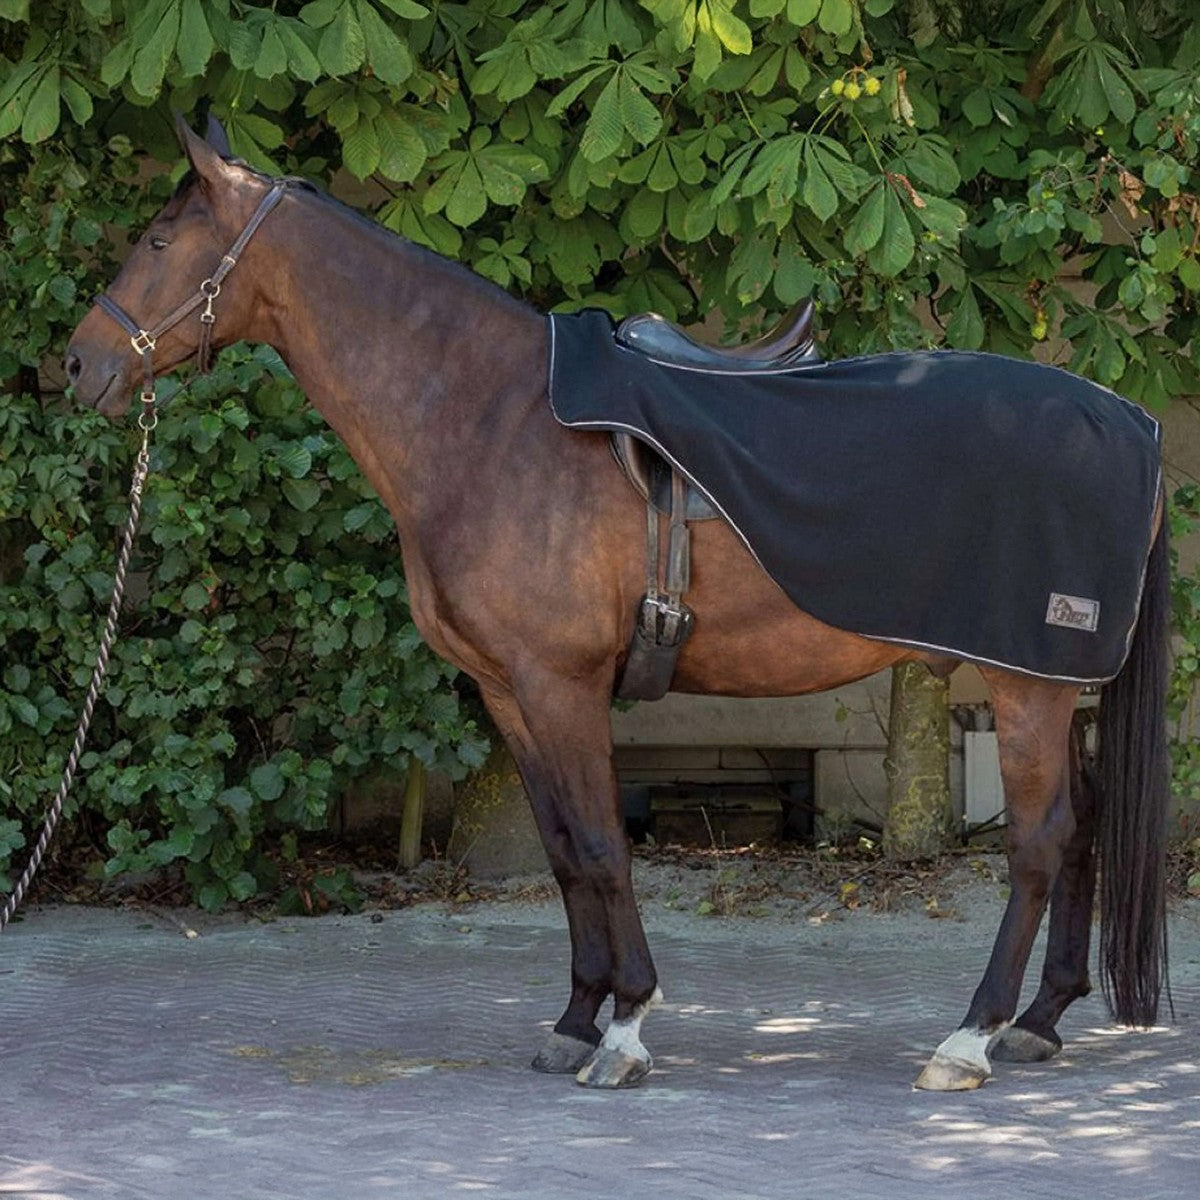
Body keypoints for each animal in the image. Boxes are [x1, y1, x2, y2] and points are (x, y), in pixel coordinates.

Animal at [64, 117, 1169, 1092]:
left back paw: (970, 1037)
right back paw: (1039, 1020)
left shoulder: (562, 684)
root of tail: (1131, 418)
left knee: (1038, 841)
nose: (77, 364)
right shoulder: (509, 692)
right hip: (1047, 688)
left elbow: (601, 847)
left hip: (1026, 687)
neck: (488, 418)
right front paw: (574, 1019)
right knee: (1081, 825)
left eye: (159, 240)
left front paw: (627, 1026)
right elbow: (564, 855)